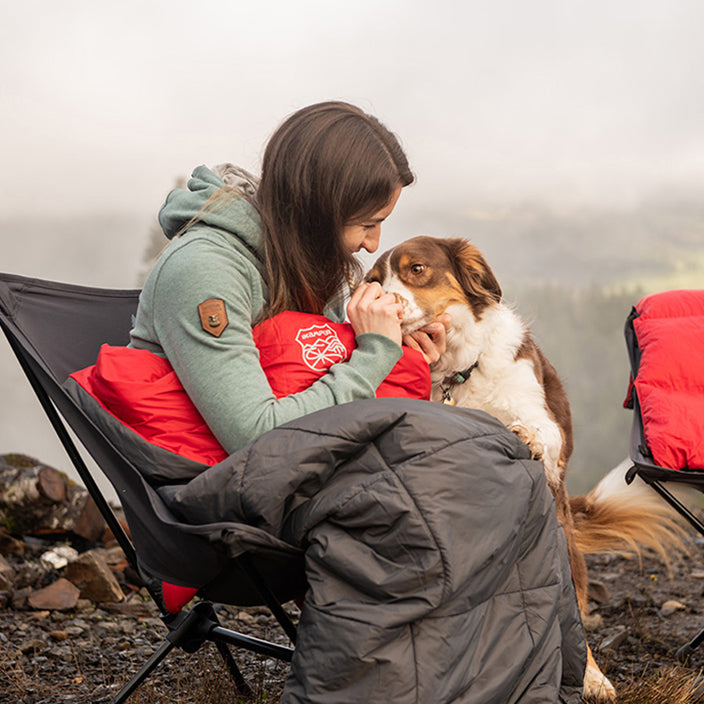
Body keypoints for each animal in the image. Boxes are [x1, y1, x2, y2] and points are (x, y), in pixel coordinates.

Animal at [366, 235, 692, 700]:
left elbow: (537, 430)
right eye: (375, 281)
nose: (384, 306)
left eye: (417, 269)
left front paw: (525, 437)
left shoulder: (543, 420)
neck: (460, 372)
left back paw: (592, 679)